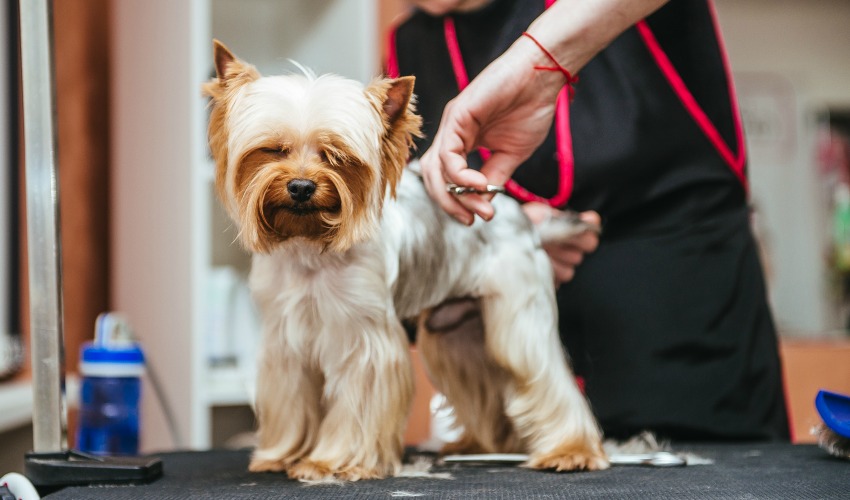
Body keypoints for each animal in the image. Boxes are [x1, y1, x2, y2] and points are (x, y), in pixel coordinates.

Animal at [202, 40, 608, 480]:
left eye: (335, 156)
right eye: (273, 149)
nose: (301, 186)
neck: (308, 245)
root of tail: (520, 217)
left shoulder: (364, 339)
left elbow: (355, 404)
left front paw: (330, 463)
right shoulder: (284, 340)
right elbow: (291, 402)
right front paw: (281, 454)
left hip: (518, 319)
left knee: (544, 376)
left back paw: (571, 451)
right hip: (457, 333)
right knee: (483, 384)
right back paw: (483, 445)